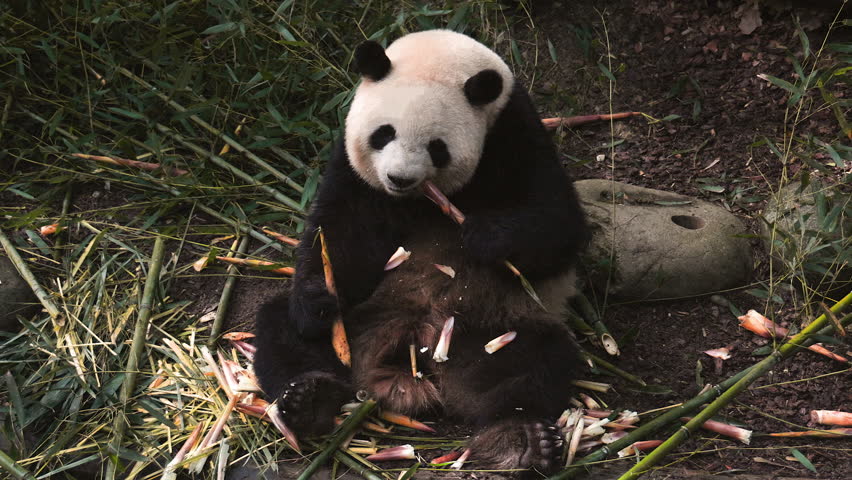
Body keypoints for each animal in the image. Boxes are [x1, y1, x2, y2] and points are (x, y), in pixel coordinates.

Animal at [253, 31, 584, 476]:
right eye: (383, 134)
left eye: (436, 147)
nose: (398, 178)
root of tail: (415, 345)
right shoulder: (353, 170)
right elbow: (340, 233)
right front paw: (319, 298)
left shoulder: (515, 135)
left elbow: (557, 224)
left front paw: (482, 235)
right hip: (363, 319)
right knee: (283, 331)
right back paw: (308, 400)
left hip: (493, 323)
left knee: (530, 366)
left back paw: (523, 440)